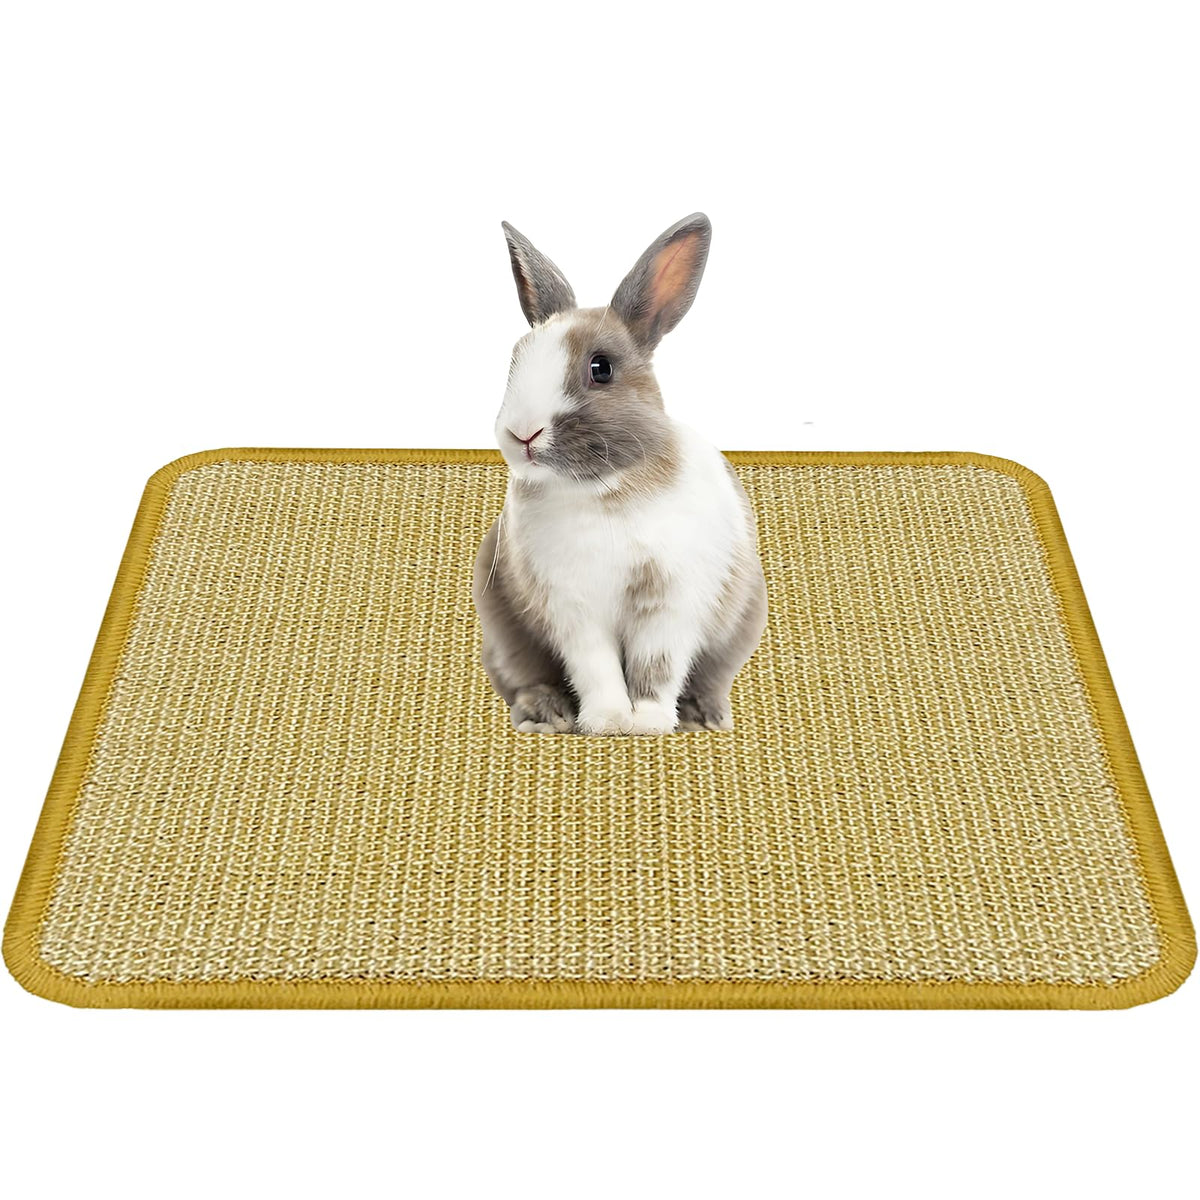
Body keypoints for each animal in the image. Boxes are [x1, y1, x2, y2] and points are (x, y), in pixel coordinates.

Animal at [472, 213, 768, 735]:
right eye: (515, 361)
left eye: (601, 368)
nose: (522, 433)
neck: (603, 490)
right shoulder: (573, 608)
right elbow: (596, 667)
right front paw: (608, 721)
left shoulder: (670, 602)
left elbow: (657, 666)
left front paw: (647, 722)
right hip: (504, 633)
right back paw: (546, 716)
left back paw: (703, 718)